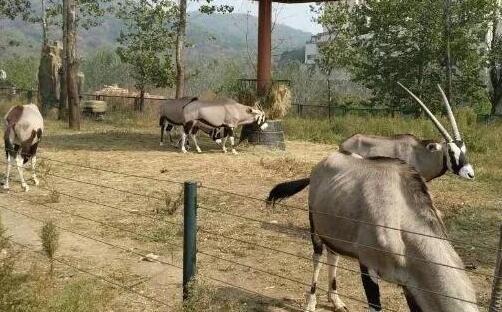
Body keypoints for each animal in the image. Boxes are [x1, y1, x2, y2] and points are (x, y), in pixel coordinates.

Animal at [266, 152, 478, 312]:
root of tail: (321, 165)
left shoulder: (410, 287)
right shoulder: (368, 267)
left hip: (334, 234)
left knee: (333, 257)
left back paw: (336, 301)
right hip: (316, 231)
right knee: (317, 260)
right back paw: (311, 303)